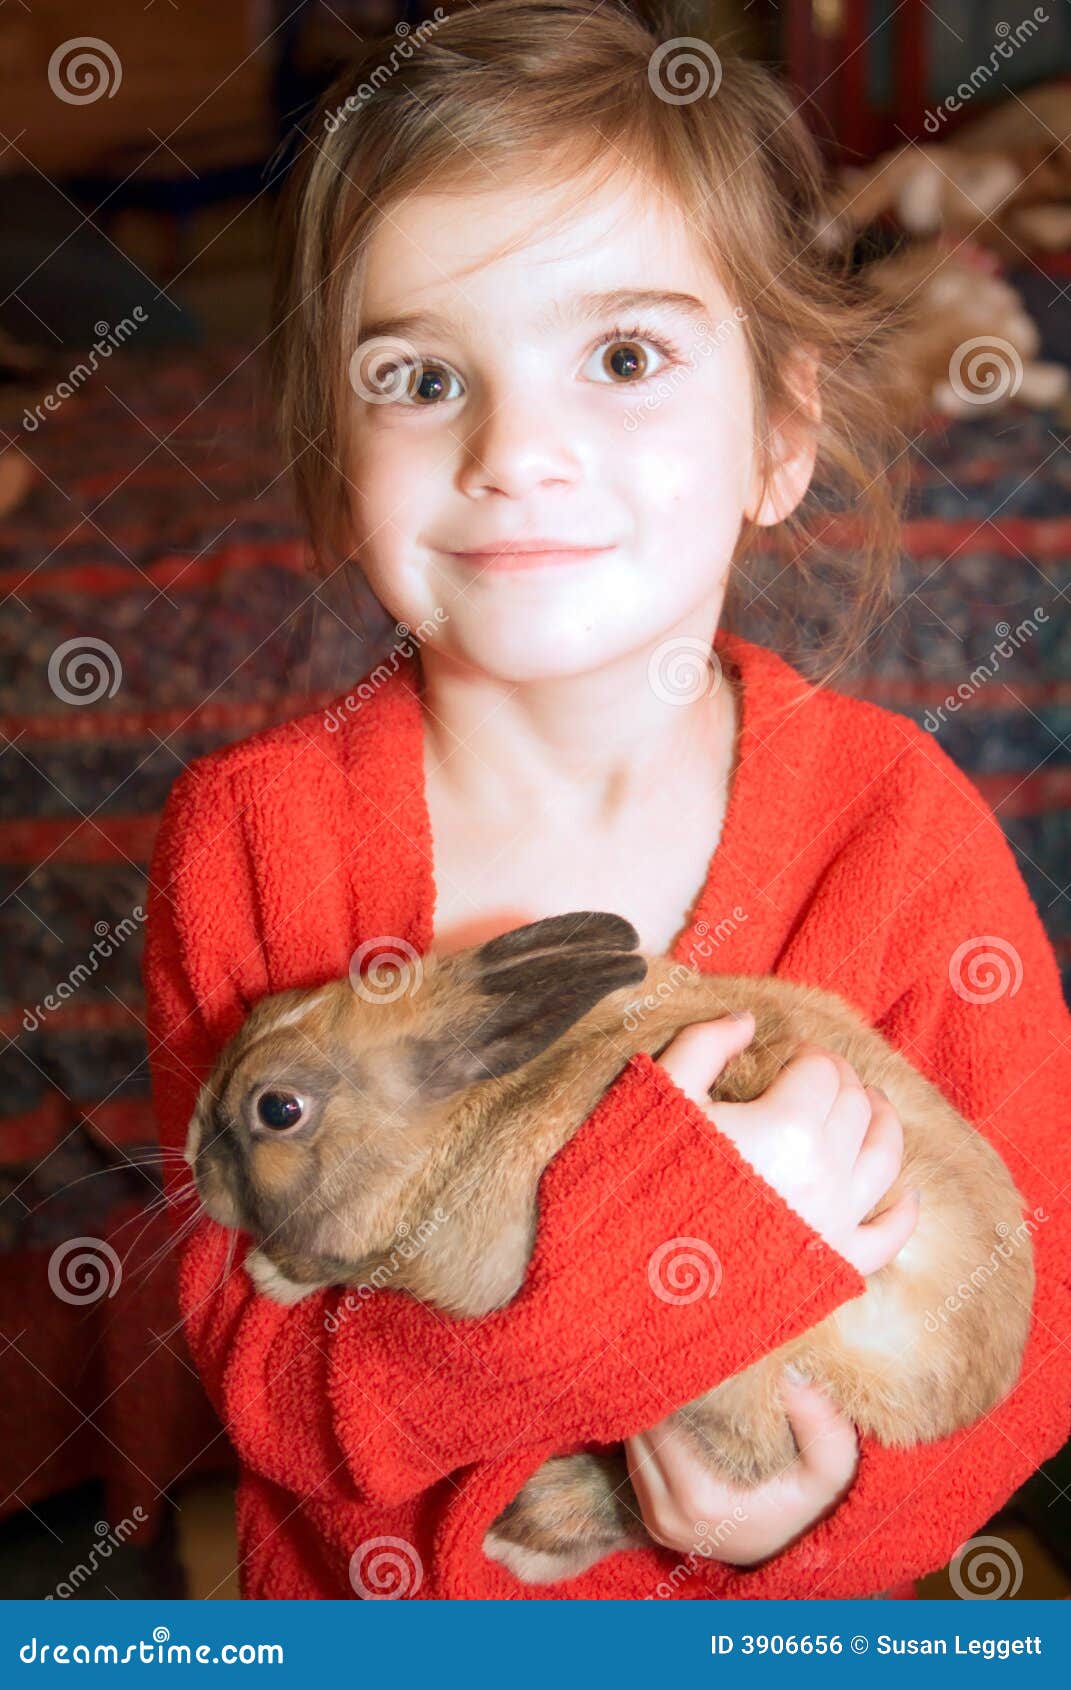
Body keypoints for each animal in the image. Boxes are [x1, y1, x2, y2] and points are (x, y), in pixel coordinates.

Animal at [185, 912, 1033, 1581]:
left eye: (278, 1109)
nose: (195, 1159)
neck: (460, 1126)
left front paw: (270, 1275)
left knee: (738, 1465)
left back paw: (526, 1536)